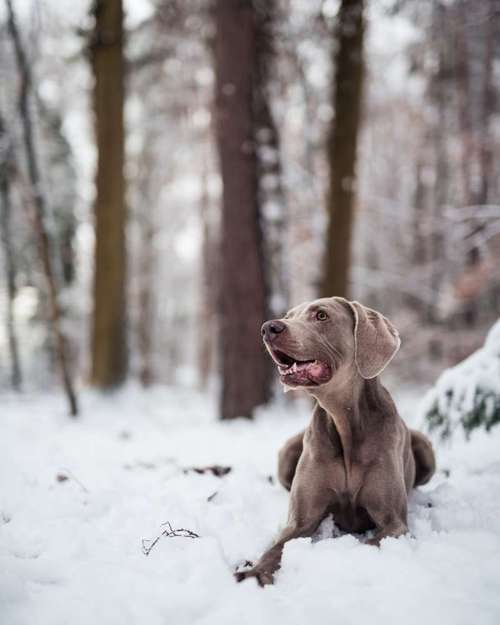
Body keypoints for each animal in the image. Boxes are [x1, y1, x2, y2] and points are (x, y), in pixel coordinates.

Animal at [236, 298, 436, 584]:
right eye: (289, 316)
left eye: (321, 316)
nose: (268, 328)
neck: (344, 420)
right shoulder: (300, 521)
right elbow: (276, 548)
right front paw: (255, 572)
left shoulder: (394, 523)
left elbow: (370, 543)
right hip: (288, 450)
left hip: (425, 448)